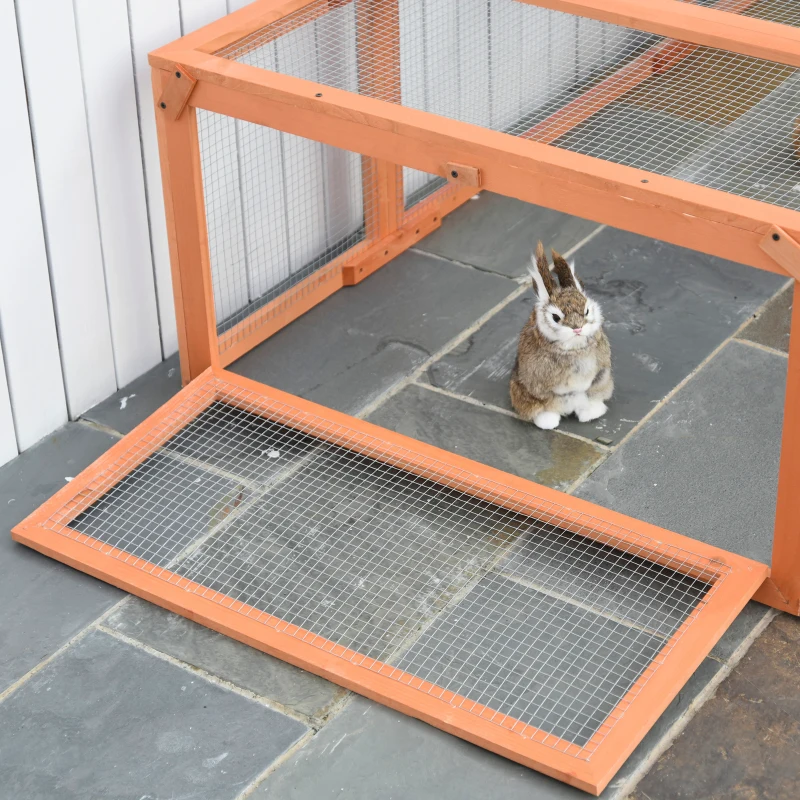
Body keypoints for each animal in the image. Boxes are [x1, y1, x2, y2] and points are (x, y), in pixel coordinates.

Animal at [510, 241, 613, 430]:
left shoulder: (600, 371)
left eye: (586, 311)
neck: (574, 347)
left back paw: (590, 414)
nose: (577, 328)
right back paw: (548, 422)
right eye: (556, 318)